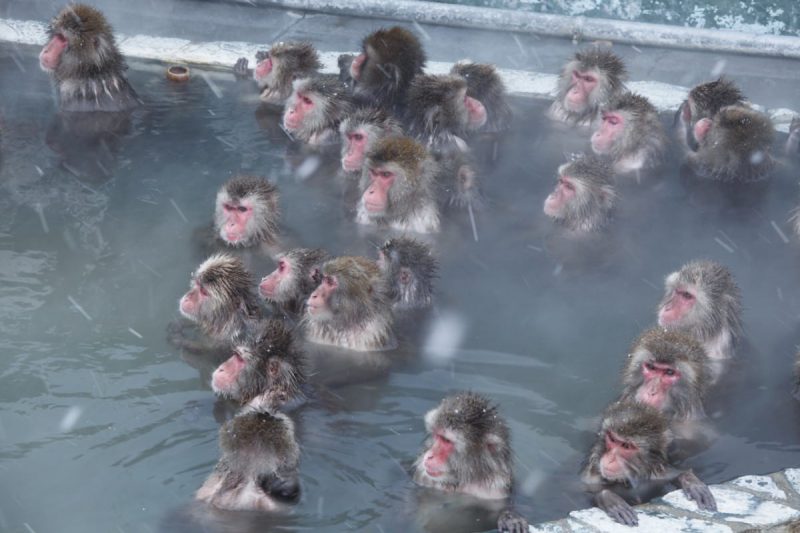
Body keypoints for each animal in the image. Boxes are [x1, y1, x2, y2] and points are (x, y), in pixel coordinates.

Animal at [413, 392, 529, 533]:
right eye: (438, 436)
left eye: (446, 440)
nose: (429, 456)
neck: (464, 479)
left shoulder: (496, 491)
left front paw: (509, 517)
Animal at [581, 401, 716, 526]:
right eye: (613, 439)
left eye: (626, 446)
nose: (610, 459)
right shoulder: (591, 478)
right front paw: (609, 498)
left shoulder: (657, 473)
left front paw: (691, 481)